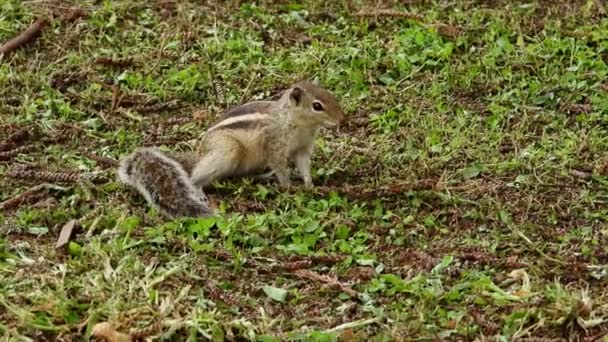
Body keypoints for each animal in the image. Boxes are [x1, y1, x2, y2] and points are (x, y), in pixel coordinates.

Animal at [117, 80, 346, 219]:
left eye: (331, 95)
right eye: (317, 106)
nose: (341, 119)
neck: (295, 121)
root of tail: (200, 155)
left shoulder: (303, 147)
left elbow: (304, 165)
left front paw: (309, 184)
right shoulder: (275, 144)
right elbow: (281, 167)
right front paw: (289, 187)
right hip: (228, 150)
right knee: (194, 177)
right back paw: (199, 191)